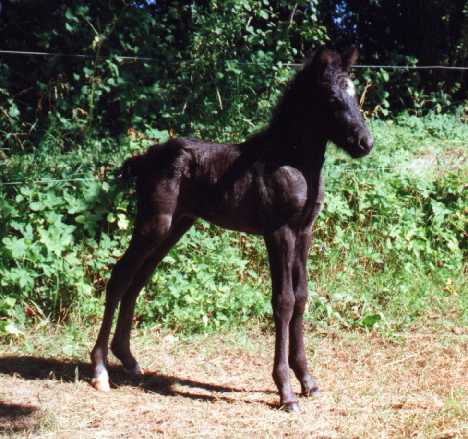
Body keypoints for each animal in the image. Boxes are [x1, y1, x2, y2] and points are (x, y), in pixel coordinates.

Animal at [92, 48, 372, 412]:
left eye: (355, 93)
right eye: (333, 98)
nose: (365, 142)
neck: (290, 159)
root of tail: (147, 156)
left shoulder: (304, 232)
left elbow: (301, 297)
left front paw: (308, 380)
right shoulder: (278, 232)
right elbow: (283, 300)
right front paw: (285, 390)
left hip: (175, 227)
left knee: (138, 280)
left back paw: (128, 359)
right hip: (154, 224)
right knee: (120, 276)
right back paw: (100, 369)